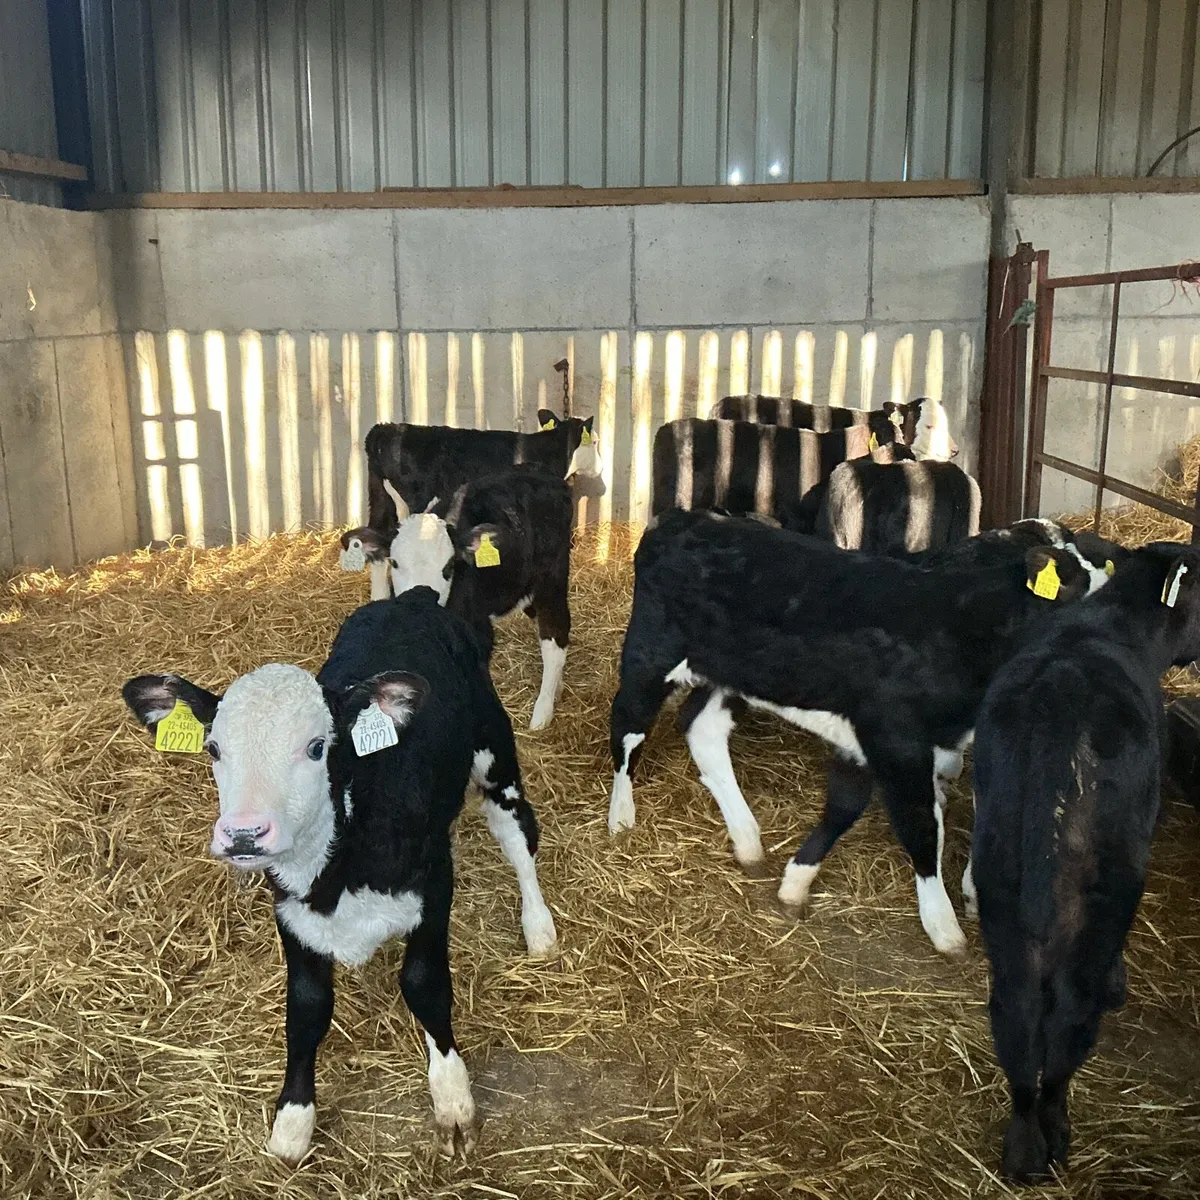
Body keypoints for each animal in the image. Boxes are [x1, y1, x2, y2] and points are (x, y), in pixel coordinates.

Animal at [122, 588, 558, 1164]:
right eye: (213, 749)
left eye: (316, 747)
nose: (244, 835)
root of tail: (413, 598)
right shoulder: (291, 910)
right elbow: (306, 1008)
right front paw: (292, 1123)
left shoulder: (434, 883)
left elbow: (424, 984)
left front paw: (452, 1098)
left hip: (494, 751)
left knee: (517, 835)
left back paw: (539, 926)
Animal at [341, 466, 574, 729]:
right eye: (395, 562)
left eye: (450, 565)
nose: (422, 597)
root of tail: (550, 480)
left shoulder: (479, 630)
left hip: (551, 582)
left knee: (554, 639)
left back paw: (542, 713)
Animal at [606, 509, 1108, 956]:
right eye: (1076, 591)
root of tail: (683, 518)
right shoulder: (897, 738)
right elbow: (922, 826)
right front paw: (944, 927)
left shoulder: (876, 741)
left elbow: (846, 806)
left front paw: (795, 883)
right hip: (651, 653)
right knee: (627, 726)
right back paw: (620, 817)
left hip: (729, 675)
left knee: (702, 729)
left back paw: (747, 840)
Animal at [971, 541, 1200, 1182]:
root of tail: (1061, 696)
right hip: (1104, 896)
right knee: (1072, 1017)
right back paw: (1054, 1131)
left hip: (1001, 886)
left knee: (1016, 1016)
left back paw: (1024, 1148)